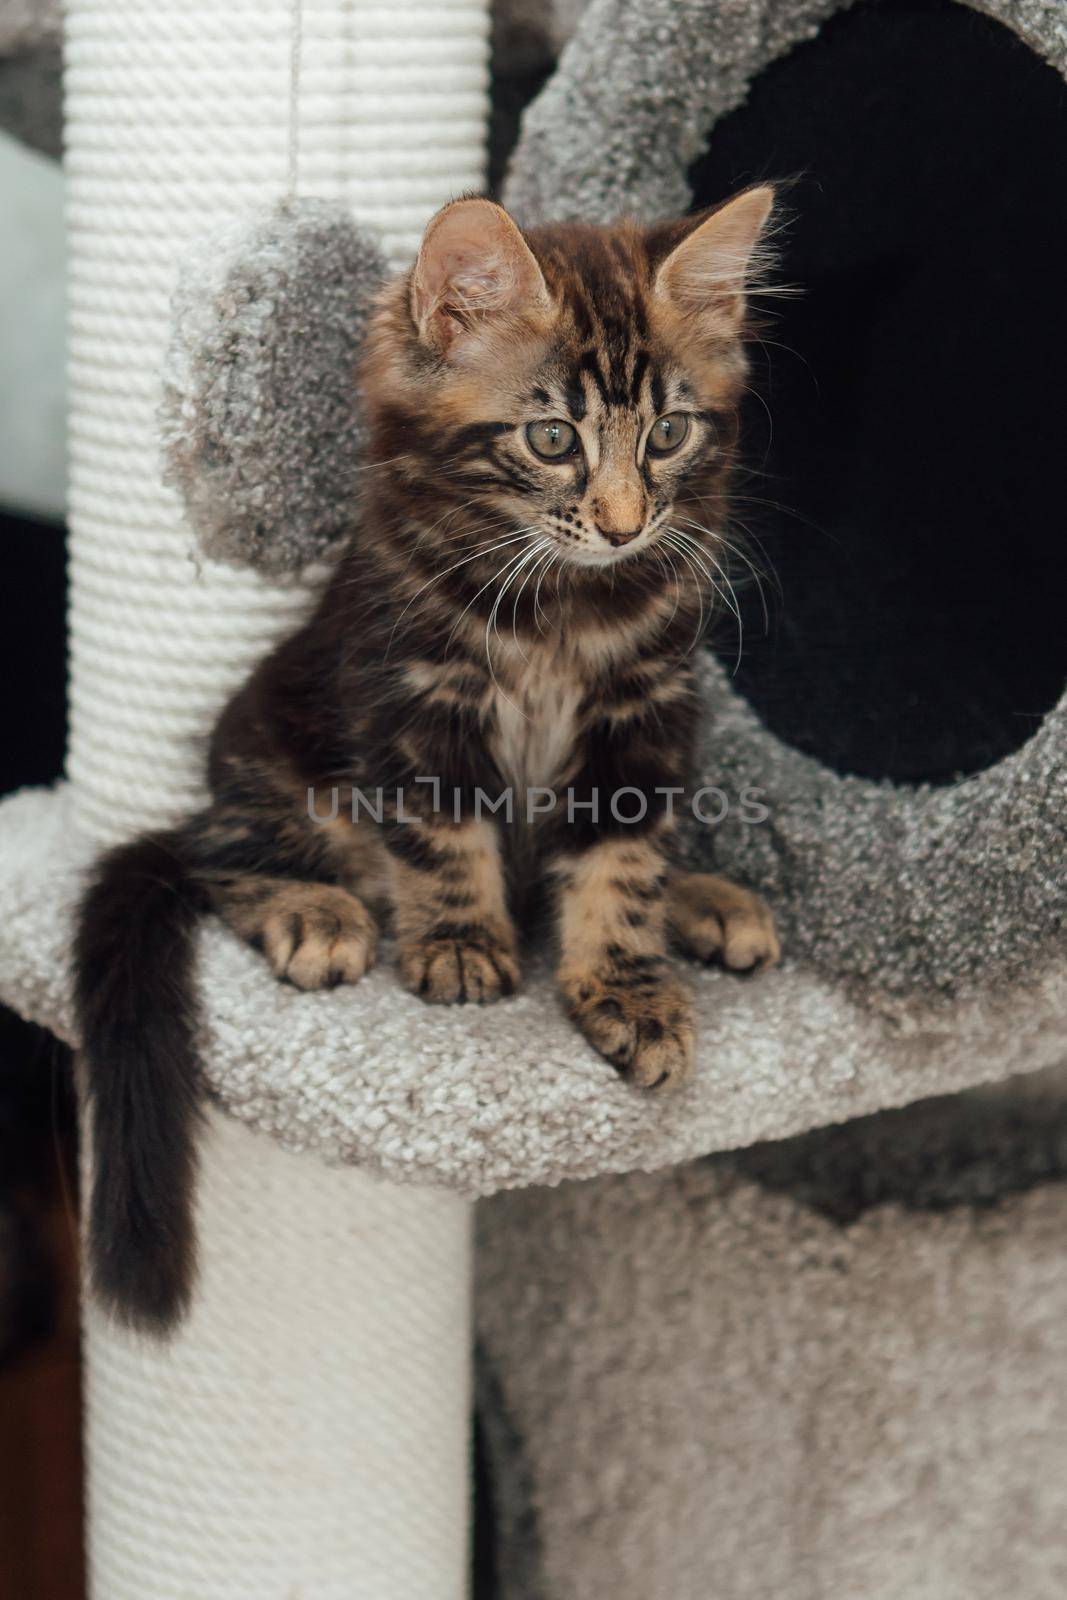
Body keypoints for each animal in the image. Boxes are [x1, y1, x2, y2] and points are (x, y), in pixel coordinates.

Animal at [73, 193, 777, 1331]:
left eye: (668, 434)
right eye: (551, 438)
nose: (625, 527)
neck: (562, 606)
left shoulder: (643, 713)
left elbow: (619, 860)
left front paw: (626, 986)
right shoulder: (415, 692)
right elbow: (444, 835)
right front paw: (455, 943)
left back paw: (707, 901)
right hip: (268, 746)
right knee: (219, 852)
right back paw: (313, 911)